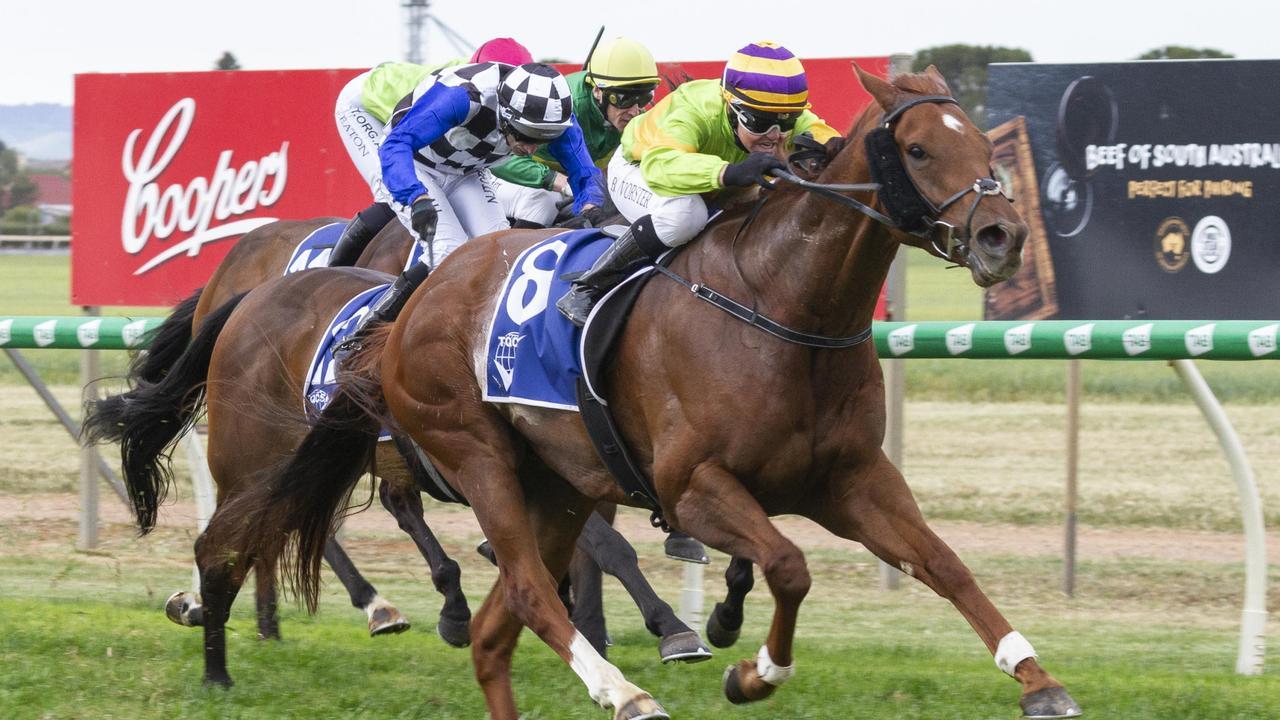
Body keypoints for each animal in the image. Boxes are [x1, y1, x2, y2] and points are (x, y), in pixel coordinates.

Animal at [225, 64, 1075, 712]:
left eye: (981, 140)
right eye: (920, 149)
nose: (1004, 236)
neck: (782, 308)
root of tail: (417, 298)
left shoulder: (852, 478)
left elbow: (944, 563)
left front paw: (1037, 678)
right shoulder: (692, 486)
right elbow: (789, 566)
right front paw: (749, 670)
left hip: (556, 484)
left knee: (501, 622)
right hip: (474, 454)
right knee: (521, 588)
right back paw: (617, 688)